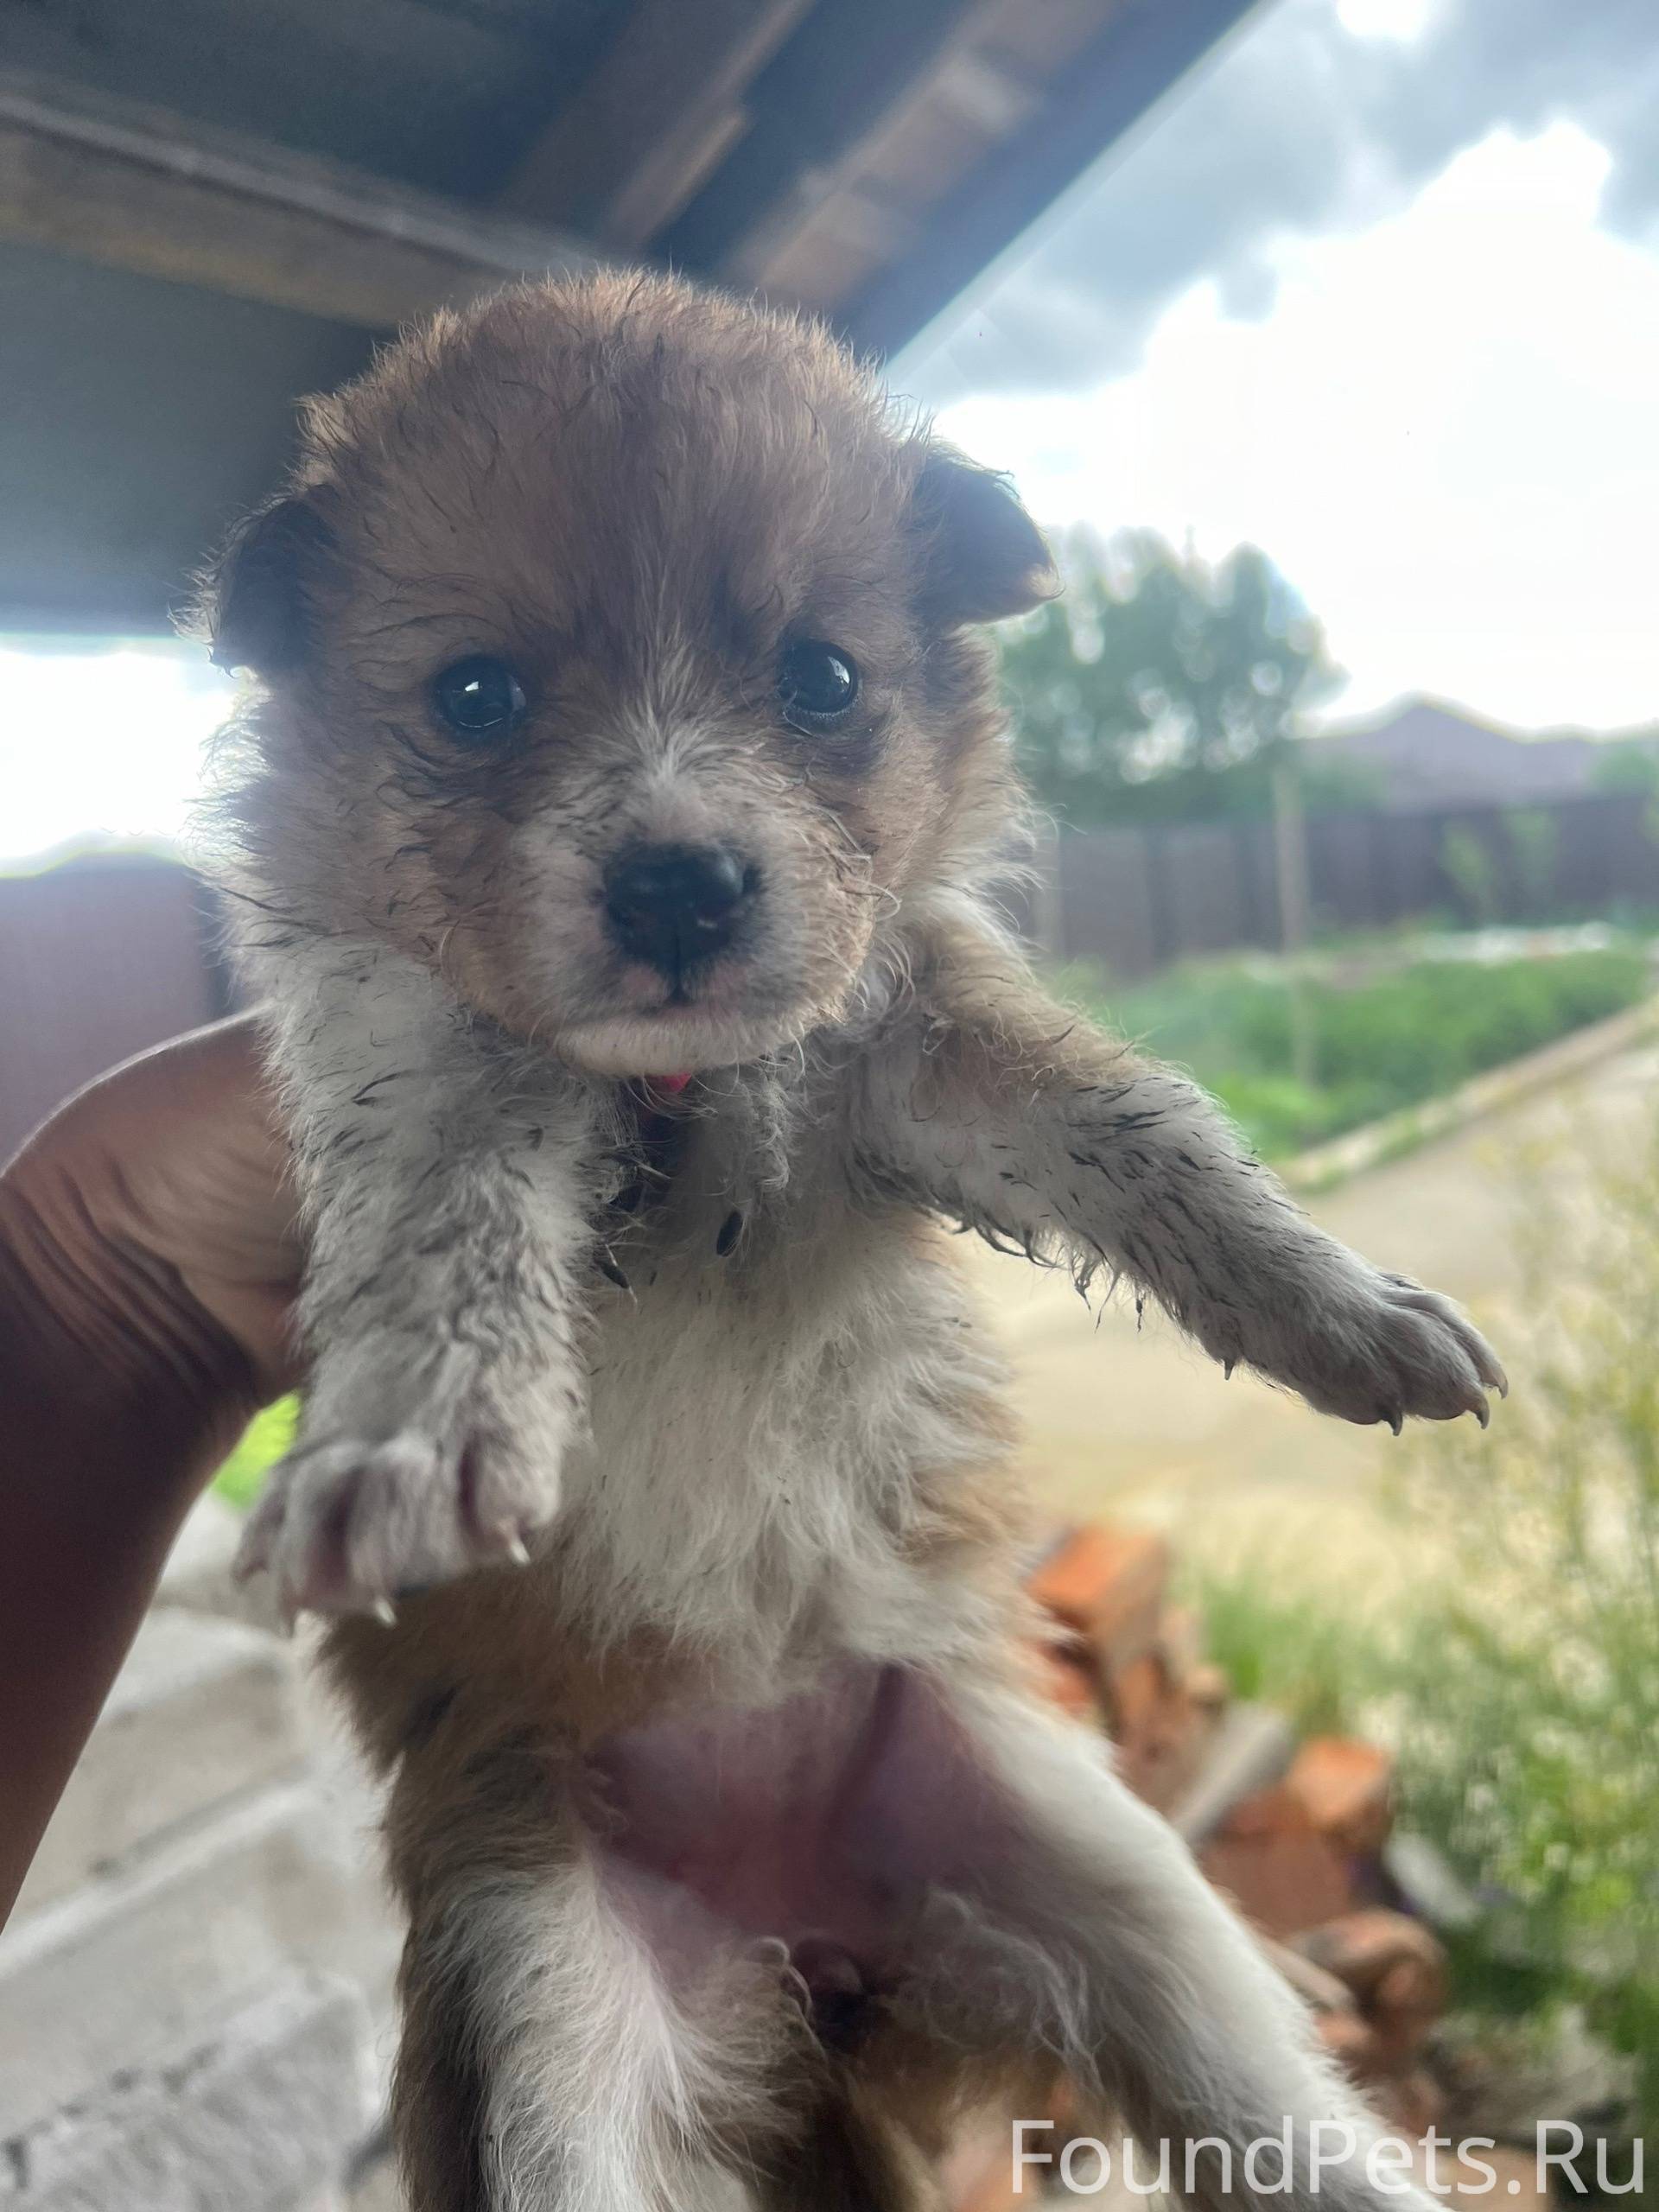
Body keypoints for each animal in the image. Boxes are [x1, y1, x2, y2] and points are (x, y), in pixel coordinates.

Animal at [198, 276, 1503, 2212]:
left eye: (820, 677)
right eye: (476, 696)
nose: (678, 882)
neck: (683, 1085)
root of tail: (803, 1947)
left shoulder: (930, 1049)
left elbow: (1154, 1129)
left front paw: (1342, 1304)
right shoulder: (424, 1080)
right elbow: (446, 1250)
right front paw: (405, 1448)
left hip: (1102, 1869)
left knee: (1273, 2116)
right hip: (546, 1994)